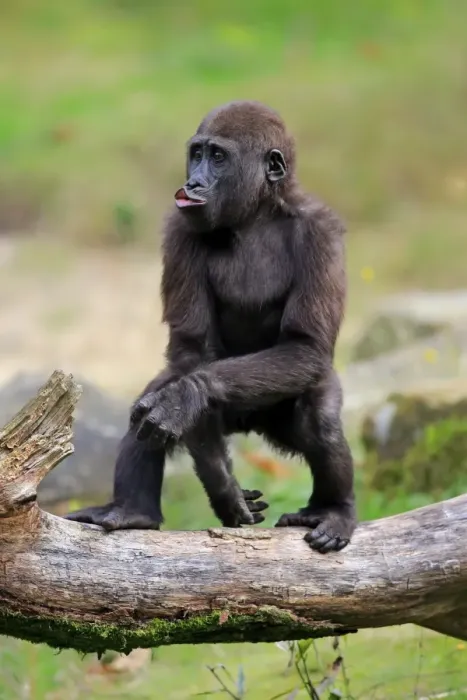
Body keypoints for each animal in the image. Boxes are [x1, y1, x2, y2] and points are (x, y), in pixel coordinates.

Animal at [67, 100, 356, 554]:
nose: (193, 182)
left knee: (319, 421)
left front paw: (186, 396)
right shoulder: (180, 228)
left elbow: (305, 345)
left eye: (218, 156)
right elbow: (190, 354)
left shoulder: (321, 232)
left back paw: (333, 509)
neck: (256, 214)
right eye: (197, 153)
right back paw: (134, 511)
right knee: (150, 401)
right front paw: (221, 483)